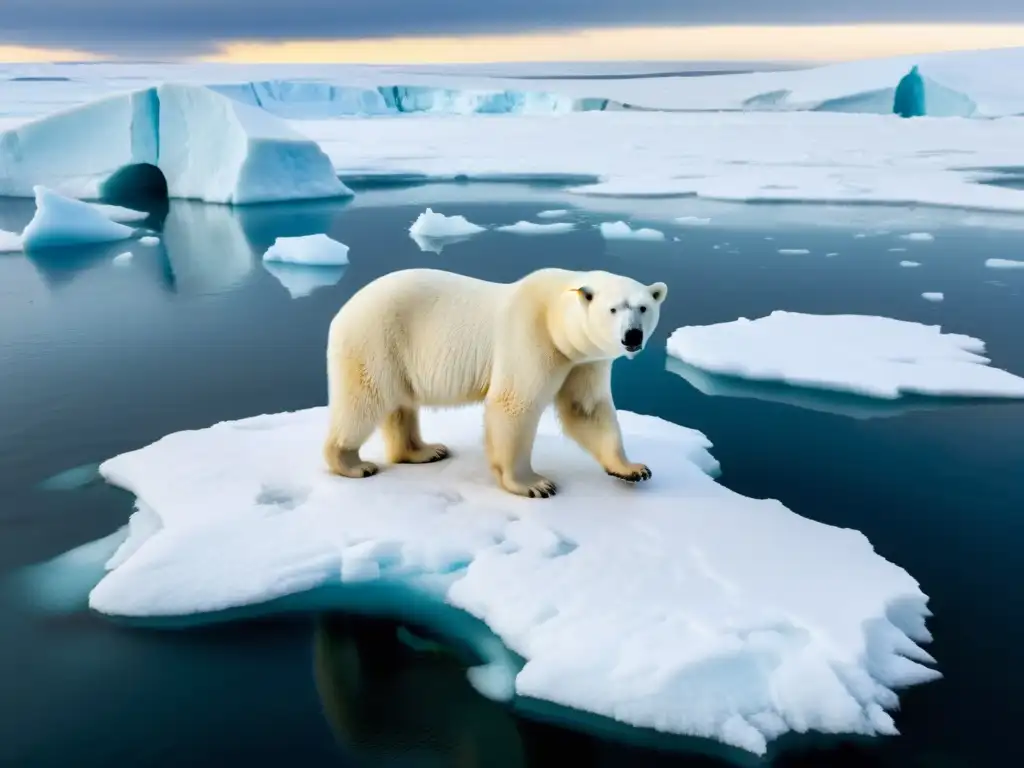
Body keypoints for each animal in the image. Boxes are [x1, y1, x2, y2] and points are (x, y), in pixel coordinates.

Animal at [323, 268, 667, 499]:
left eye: (643, 307)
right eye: (613, 309)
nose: (632, 336)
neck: (554, 315)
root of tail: (343, 310)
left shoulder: (583, 361)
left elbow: (586, 408)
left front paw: (633, 468)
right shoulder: (532, 337)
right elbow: (514, 404)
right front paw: (534, 484)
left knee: (400, 404)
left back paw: (425, 451)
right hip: (376, 340)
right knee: (365, 400)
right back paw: (353, 464)